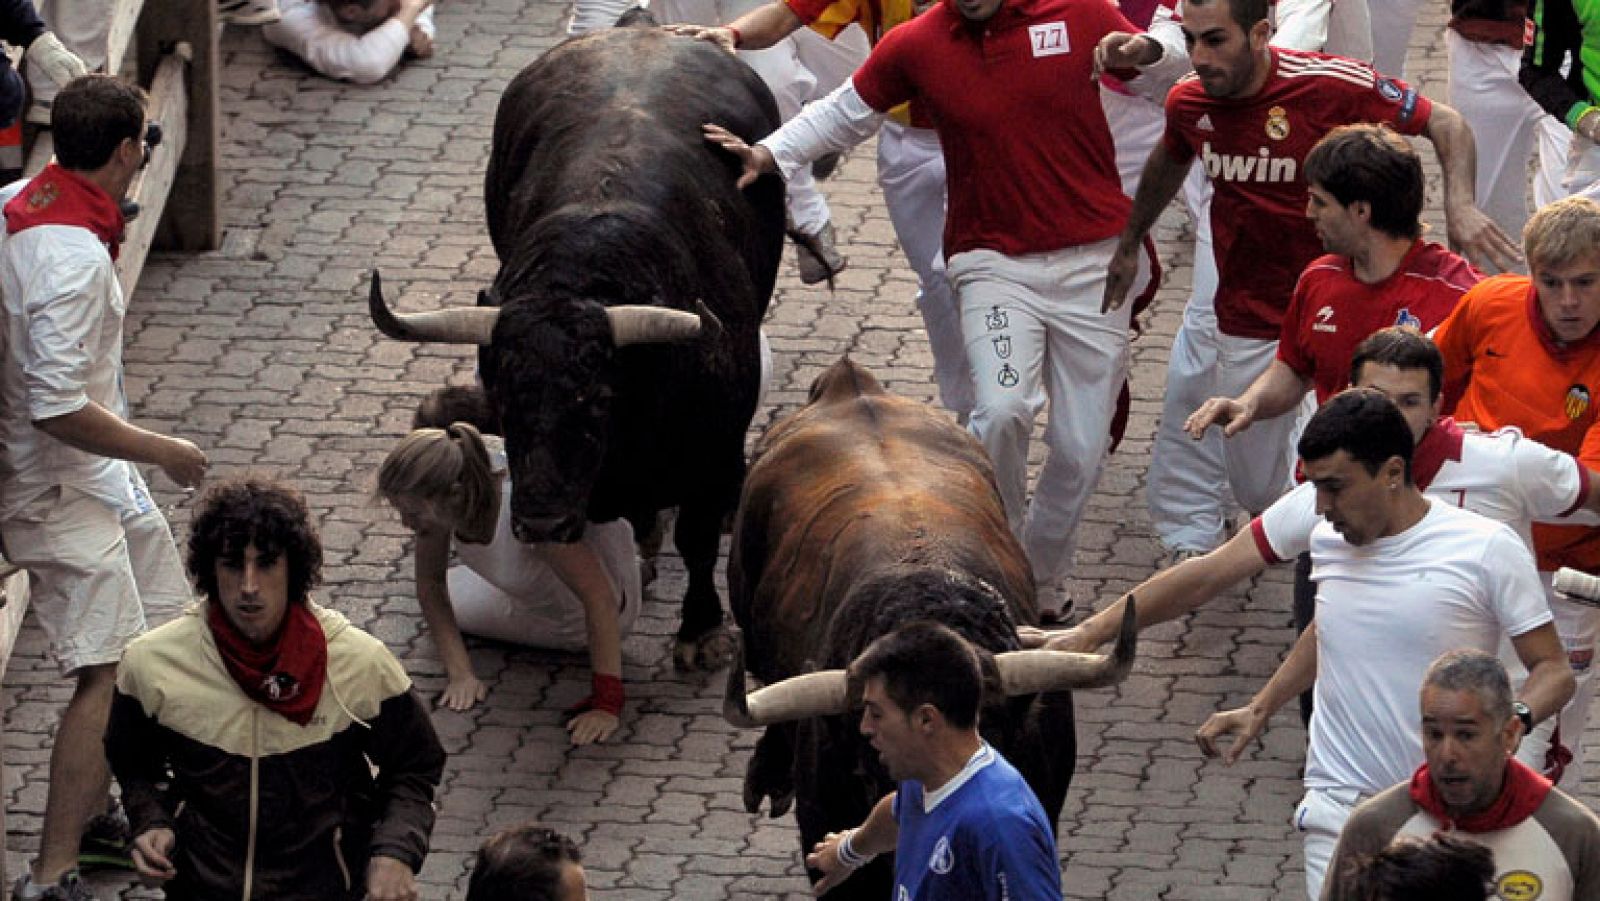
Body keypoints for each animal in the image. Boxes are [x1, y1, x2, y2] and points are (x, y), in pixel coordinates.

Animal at [364, 24, 787, 665]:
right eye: (505, 398)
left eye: (596, 399)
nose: (540, 522)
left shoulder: (712, 450)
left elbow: (696, 538)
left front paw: (701, 630)